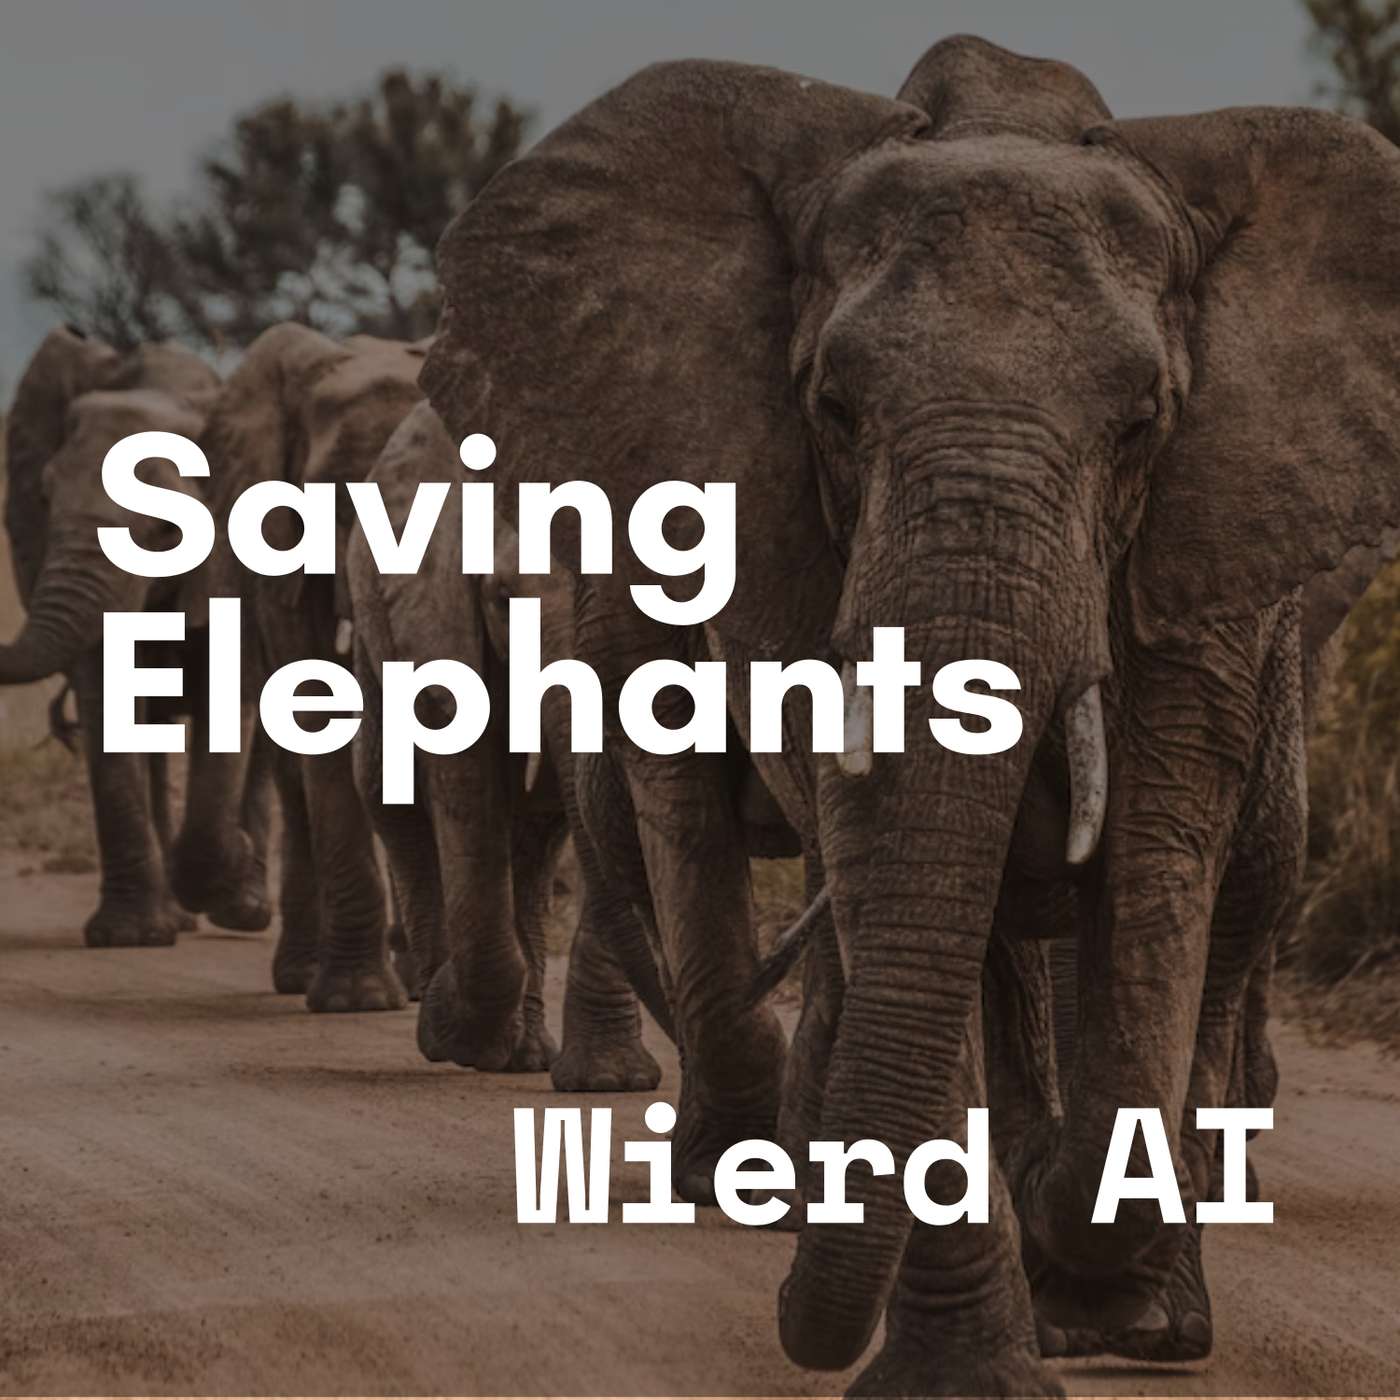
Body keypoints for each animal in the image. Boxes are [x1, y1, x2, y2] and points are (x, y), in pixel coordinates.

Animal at [1, 325, 271, 946]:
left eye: (167, 529)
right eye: (44, 499)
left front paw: (227, 865)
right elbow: (107, 693)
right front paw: (130, 936)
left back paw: (244, 909)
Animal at [345, 400, 667, 1086]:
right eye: (501, 598)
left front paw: (610, 1083)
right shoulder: (439, 609)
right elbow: (467, 790)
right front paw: (448, 1026)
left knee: (539, 832)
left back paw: (523, 1057)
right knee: (392, 797)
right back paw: (448, 1023)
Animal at [421, 36, 1400, 1397]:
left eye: (1141, 425)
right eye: (832, 411)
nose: (794, 1313)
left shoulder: (1200, 556)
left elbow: (1153, 870)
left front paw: (1107, 1307)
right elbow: (888, 857)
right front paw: (969, 1368)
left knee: (1225, 900)